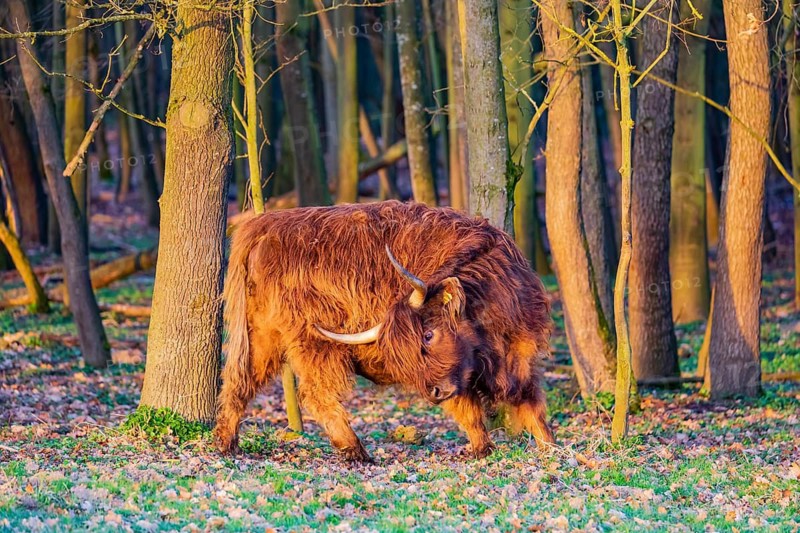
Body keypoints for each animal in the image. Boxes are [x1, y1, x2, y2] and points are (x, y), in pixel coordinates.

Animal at [214, 201, 554, 462]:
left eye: (428, 335)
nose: (434, 392)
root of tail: (264, 225)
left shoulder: (519, 351)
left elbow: (529, 402)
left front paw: (547, 446)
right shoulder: (454, 375)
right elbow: (469, 408)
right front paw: (485, 449)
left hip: (261, 334)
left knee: (239, 381)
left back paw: (225, 443)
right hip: (311, 341)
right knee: (315, 393)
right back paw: (356, 450)